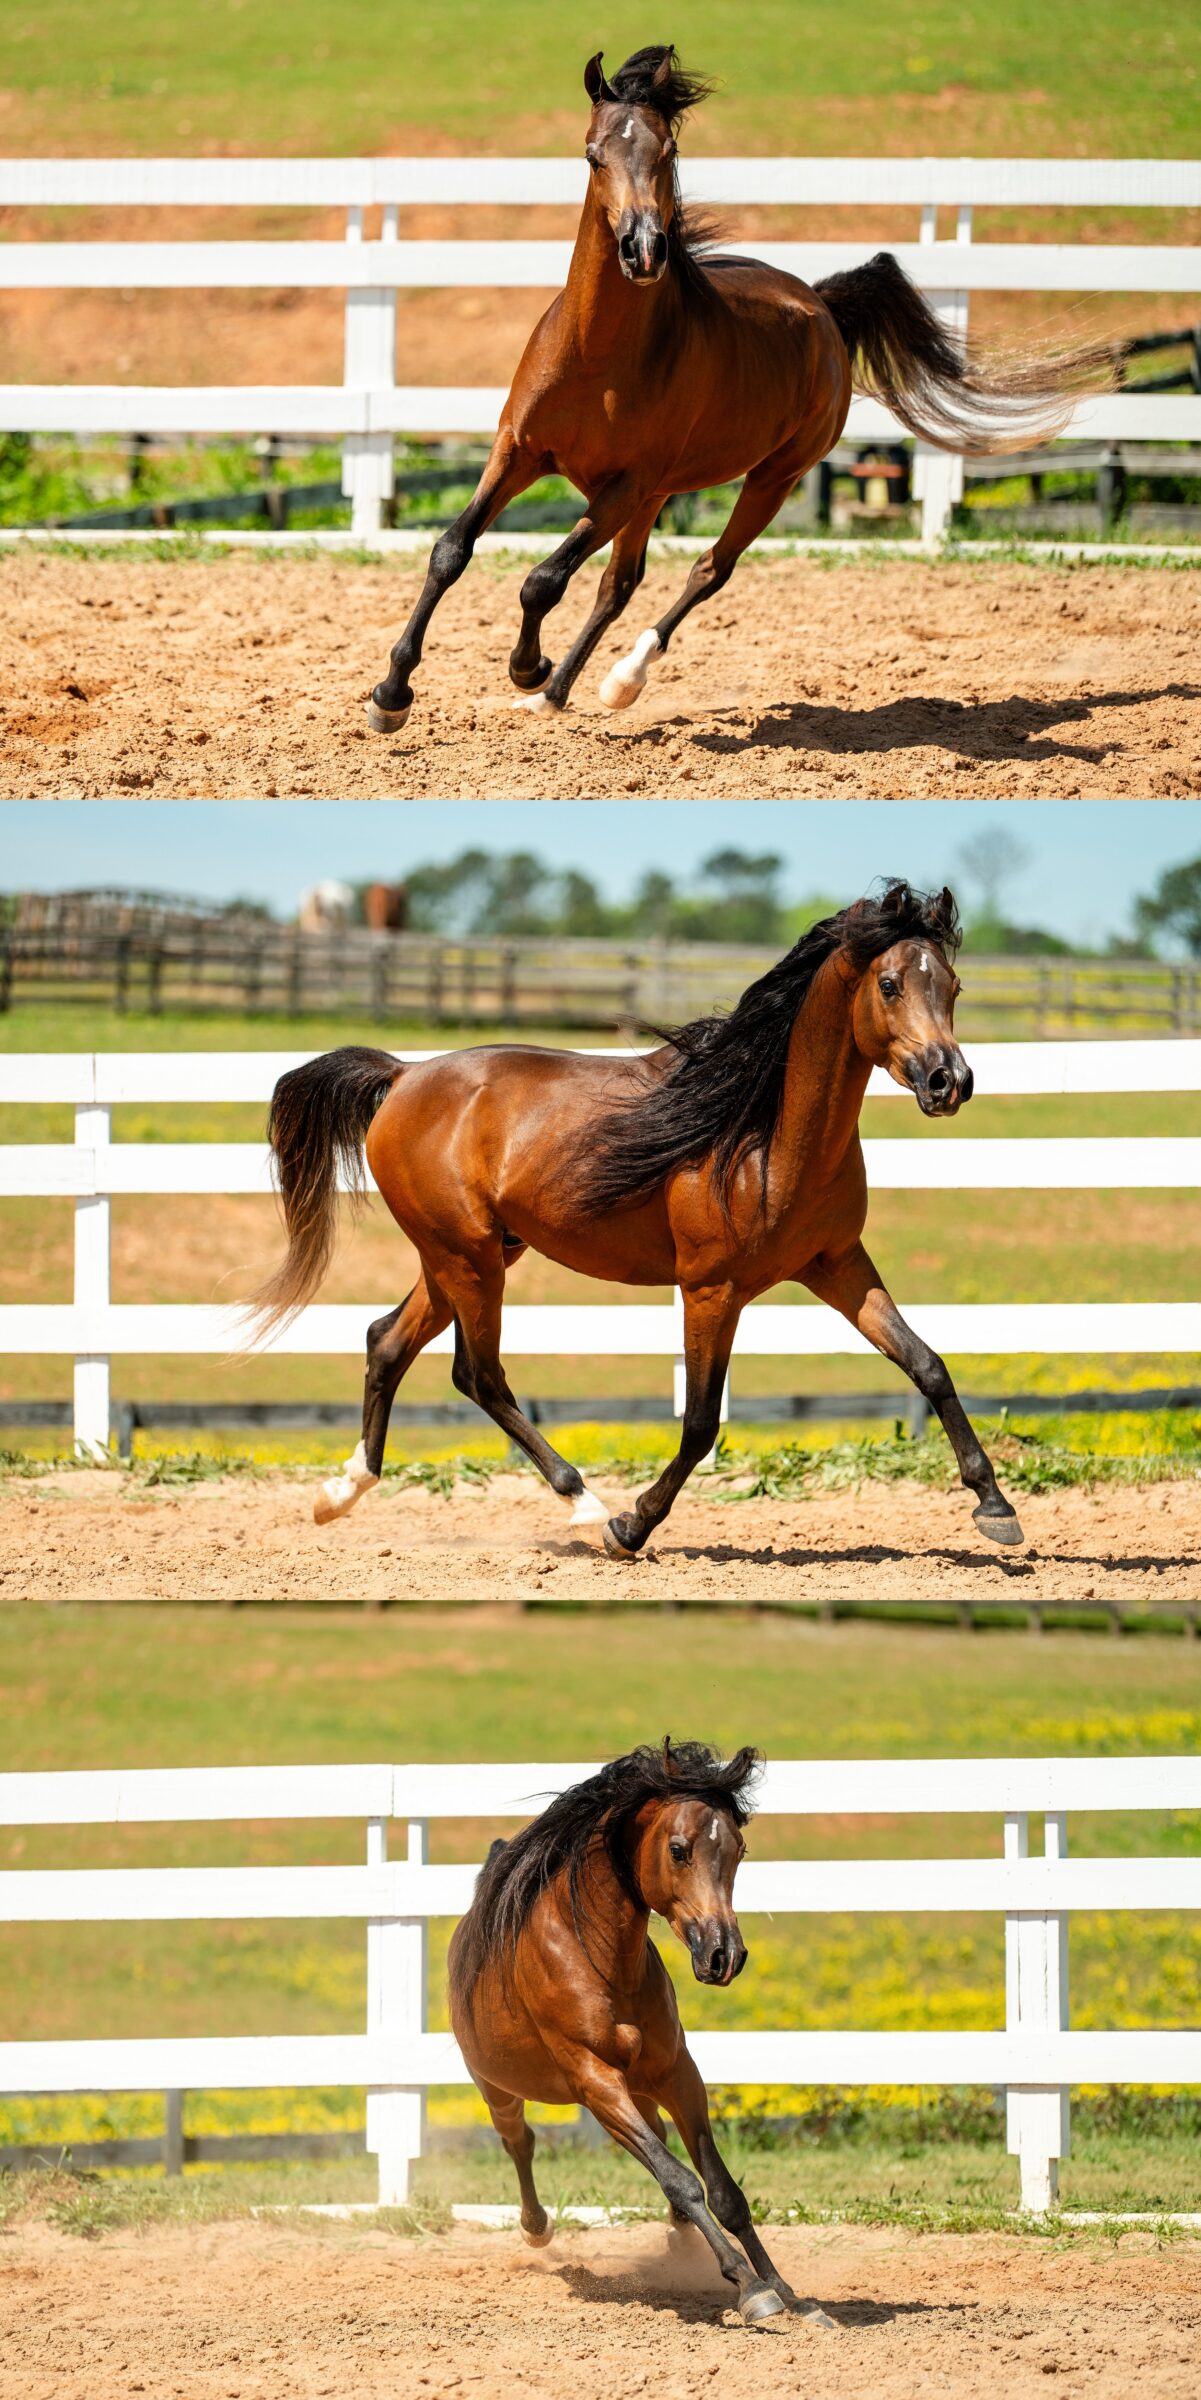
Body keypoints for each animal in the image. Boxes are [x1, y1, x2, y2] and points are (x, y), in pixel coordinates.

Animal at [247, 878, 1025, 1557]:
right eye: (889, 984)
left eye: (953, 986)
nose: (949, 1082)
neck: (764, 1136)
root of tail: (405, 1075)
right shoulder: (711, 1290)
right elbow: (700, 1423)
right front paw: (631, 1527)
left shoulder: (836, 1264)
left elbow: (927, 1364)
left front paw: (996, 1508)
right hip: (466, 1257)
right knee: (480, 1374)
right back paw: (584, 1503)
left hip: (472, 1255)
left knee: (387, 1341)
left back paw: (339, 1494)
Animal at [365, 44, 1103, 738]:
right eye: (593, 155)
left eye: (668, 150)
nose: (643, 250)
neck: (596, 357)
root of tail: (823, 306)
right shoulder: (518, 451)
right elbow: (451, 551)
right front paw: (391, 696)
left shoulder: (625, 485)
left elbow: (542, 579)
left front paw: (526, 666)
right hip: (662, 494)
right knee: (619, 584)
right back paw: (557, 695)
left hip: (770, 477)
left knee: (706, 571)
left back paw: (618, 680)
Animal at [448, 1737, 833, 2330]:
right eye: (678, 1849)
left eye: (739, 1850)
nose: (724, 1956)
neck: (600, 1962)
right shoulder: (597, 2083)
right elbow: (681, 2179)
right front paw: (750, 2289)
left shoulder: (678, 2073)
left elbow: (723, 2190)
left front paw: (789, 2292)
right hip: (500, 2090)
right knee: (521, 2142)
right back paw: (536, 2228)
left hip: (642, 2089)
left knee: (657, 2139)